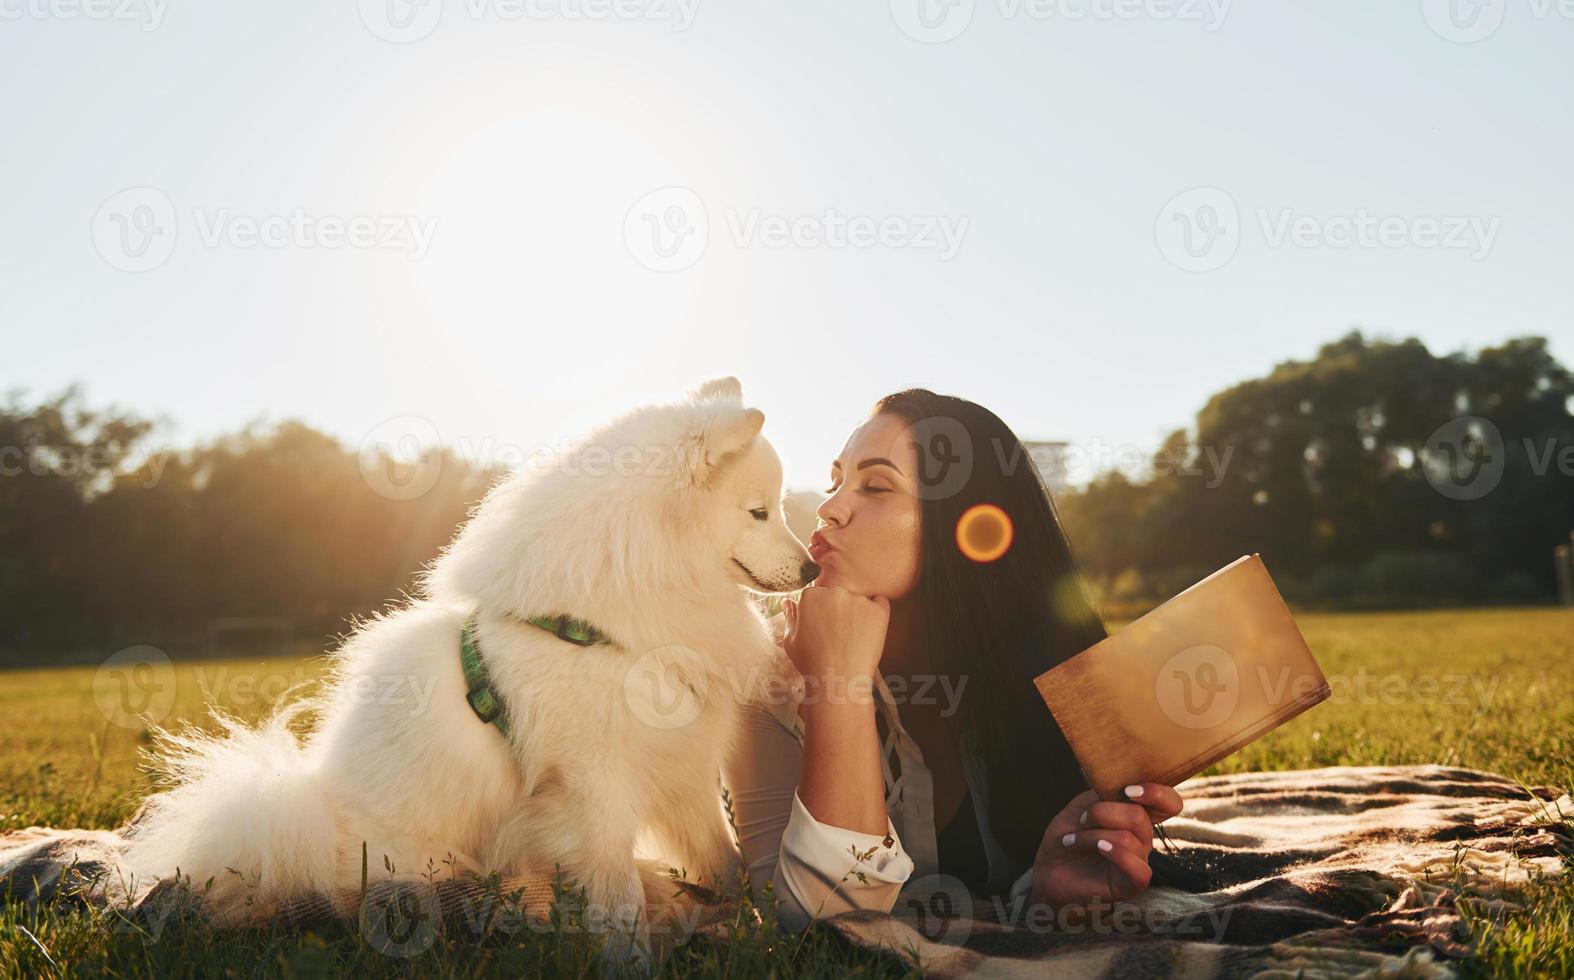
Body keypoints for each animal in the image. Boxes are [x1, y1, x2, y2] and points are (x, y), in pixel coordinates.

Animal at [122, 379, 818, 968]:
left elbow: (727, 864)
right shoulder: (594, 787)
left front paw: (755, 937)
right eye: (759, 512)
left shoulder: (683, 769)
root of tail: (305, 813)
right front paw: (635, 961)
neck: (602, 624)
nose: (812, 568)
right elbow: (620, 898)